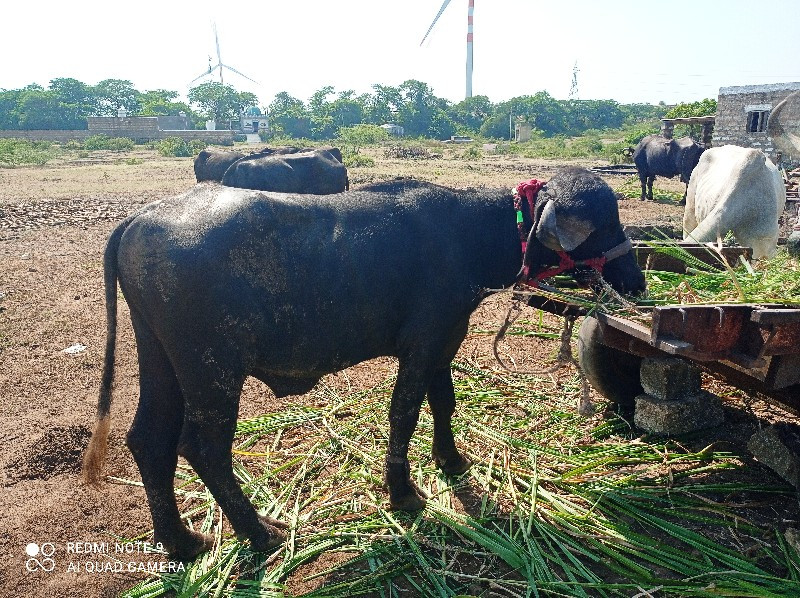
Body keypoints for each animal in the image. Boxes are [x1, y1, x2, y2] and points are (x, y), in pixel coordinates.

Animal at [81, 168, 644, 564]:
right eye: (606, 224)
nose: (637, 280)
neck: (465, 236)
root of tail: (138, 221)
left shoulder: (443, 343)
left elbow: (444, 403)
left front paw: (451, 461)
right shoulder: (422, 347)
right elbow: (405, 414)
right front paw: (403, 493)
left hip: (161, 360)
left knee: (149, 440)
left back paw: (181, 540)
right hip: (212, 370)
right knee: (202, 447)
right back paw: (258, 531)